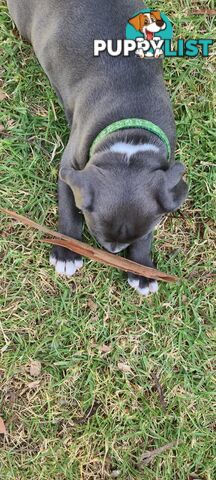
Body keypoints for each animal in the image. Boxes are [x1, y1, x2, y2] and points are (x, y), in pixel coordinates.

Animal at [7, 0, 187, 296]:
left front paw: (142, 268)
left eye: (135, 237)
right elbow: (69, 209)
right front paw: (67, 253)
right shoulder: (70, 168)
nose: (112, 251)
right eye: (96, 232)